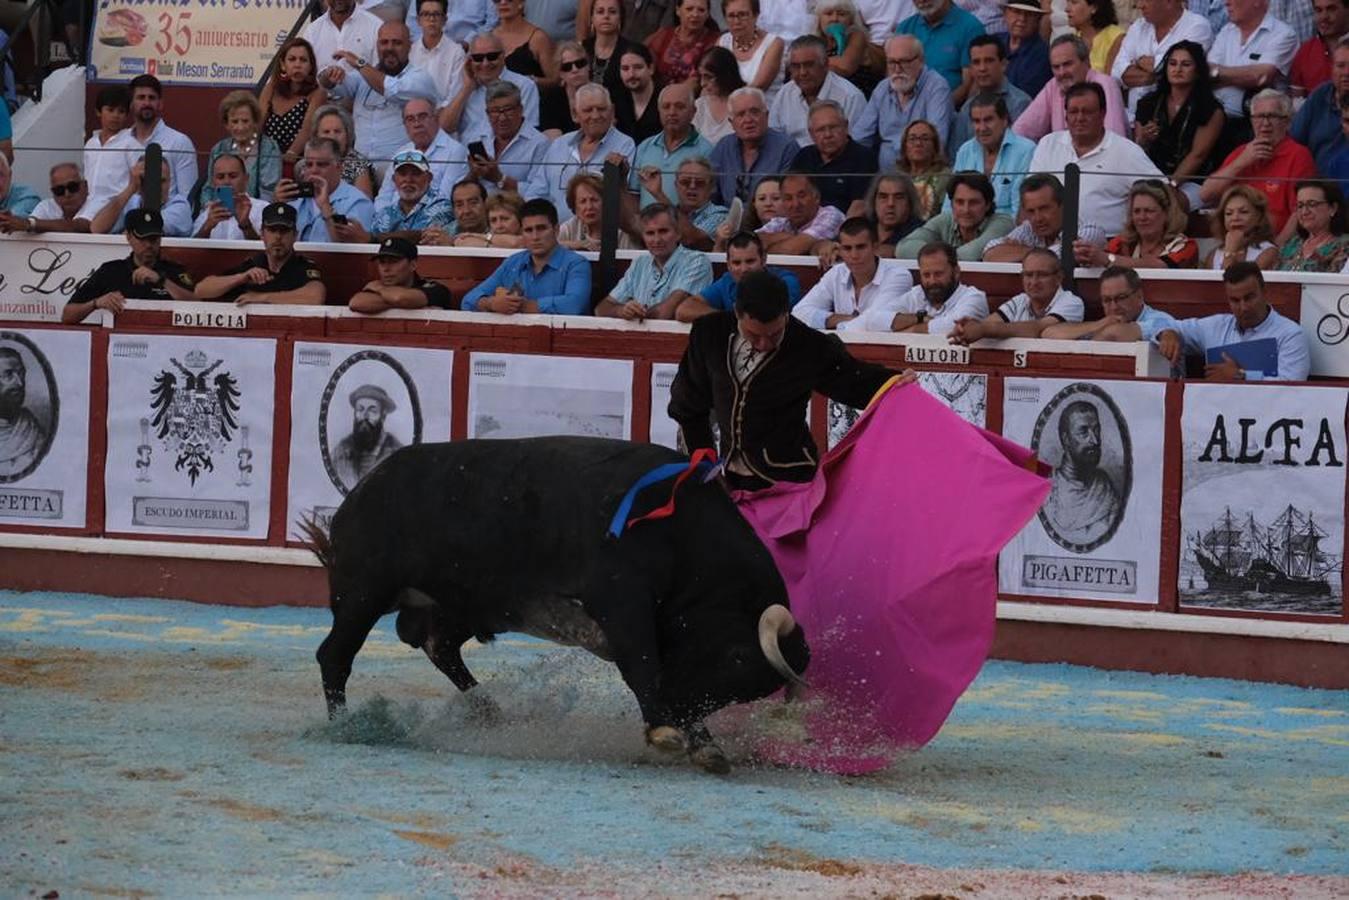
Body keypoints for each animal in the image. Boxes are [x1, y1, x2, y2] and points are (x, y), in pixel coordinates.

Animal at [303, 437, 809, 777]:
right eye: (736, 655)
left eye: (749, 688)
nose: (678, 710)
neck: (681, 530)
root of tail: (362, 489)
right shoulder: (622, 604)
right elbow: (643, 665)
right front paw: (666, 732)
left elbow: (652, 671)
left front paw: (704, 745)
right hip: (363, 594)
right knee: (336, 655)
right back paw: (345, 726)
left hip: (462, 603)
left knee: (437, 644)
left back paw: (487, 710)